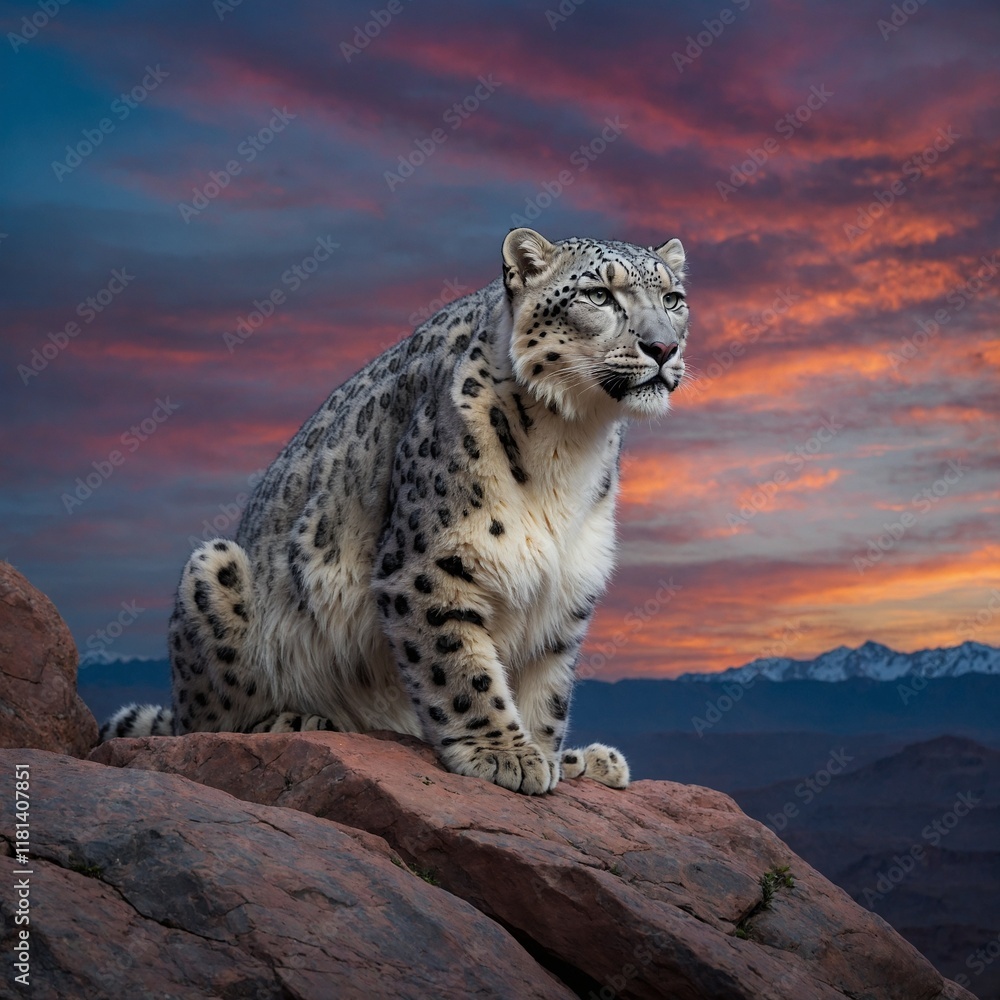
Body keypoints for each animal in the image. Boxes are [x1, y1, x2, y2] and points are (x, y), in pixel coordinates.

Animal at [100, 228, 690, 795]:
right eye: (599, 295)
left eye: (673, 298)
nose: (663, 346)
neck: (571, 447)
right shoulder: (429, 564)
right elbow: (461, 668)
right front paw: (503, 754)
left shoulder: (566, 585)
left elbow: (548, 692)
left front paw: (546, 755)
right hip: (215, 570)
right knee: (202, 721)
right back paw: (296, 721)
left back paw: (589, 760)